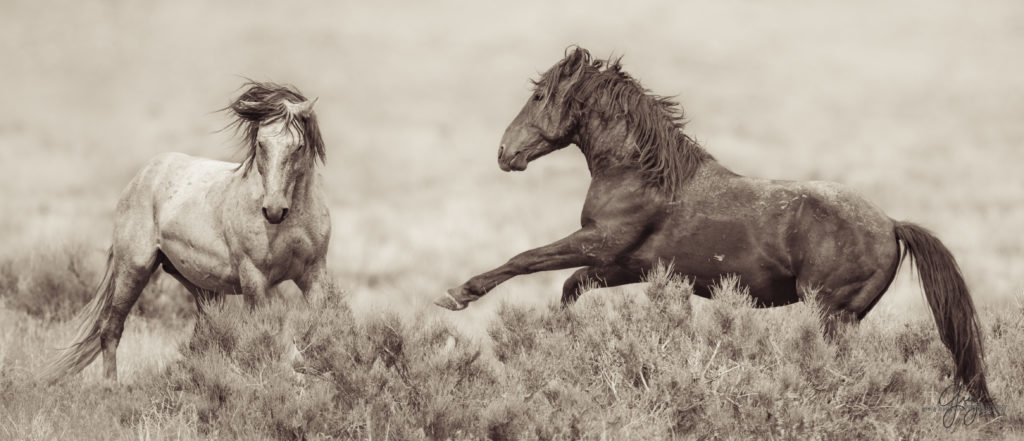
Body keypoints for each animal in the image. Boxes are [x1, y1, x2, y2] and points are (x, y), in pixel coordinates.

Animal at [41, 82, 329, 382]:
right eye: (261, 144)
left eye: (298, 146)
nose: (273, 210)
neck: (291, 222)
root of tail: (143, 175)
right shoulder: (255, 280)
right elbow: (265, 338)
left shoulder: (314, 275)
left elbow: (317, 331)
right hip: (133, 269)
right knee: (111, 329)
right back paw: (111, 385)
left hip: (202, 289)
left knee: (200, 340)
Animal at [434, 46, 991, 405]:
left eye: (540, 96)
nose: (504, 153)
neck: (642, 174)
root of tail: (892, 224)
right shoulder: (625, 263)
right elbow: (571, 287)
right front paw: (566, 337)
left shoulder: (600, 242)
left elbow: (525, 259)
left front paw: (456, 295)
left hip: (829, 312)